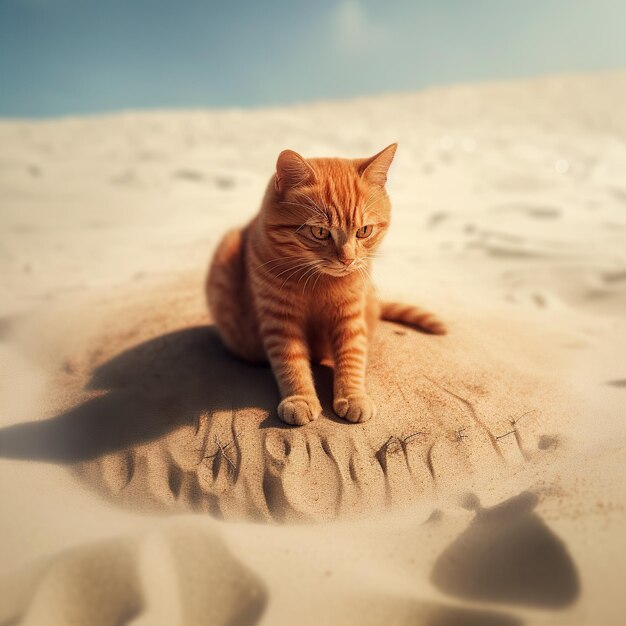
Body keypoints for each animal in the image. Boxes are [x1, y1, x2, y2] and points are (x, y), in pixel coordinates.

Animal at [205, 143, 444, 422]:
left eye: (364, 231)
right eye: (320, 232)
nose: (347, 259)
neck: (318, 281)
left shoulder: (350, 316)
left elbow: (352, 354)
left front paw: (352, 396)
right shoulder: (280, 321)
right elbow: (290, 360)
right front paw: (300, 399)